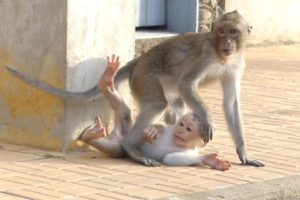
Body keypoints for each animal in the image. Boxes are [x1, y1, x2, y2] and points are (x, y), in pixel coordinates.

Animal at [78, 55, 231, 171]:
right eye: (181, 124)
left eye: (188, 129)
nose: (180, 130)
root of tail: (116, 136)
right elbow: (160, 127)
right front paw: (154, 130)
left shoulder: (189, 151)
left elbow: (171, 158)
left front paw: (210, 160)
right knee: (127, 116)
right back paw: (107, 81)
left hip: (118, 141)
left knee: (118, 140)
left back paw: (90, 135)